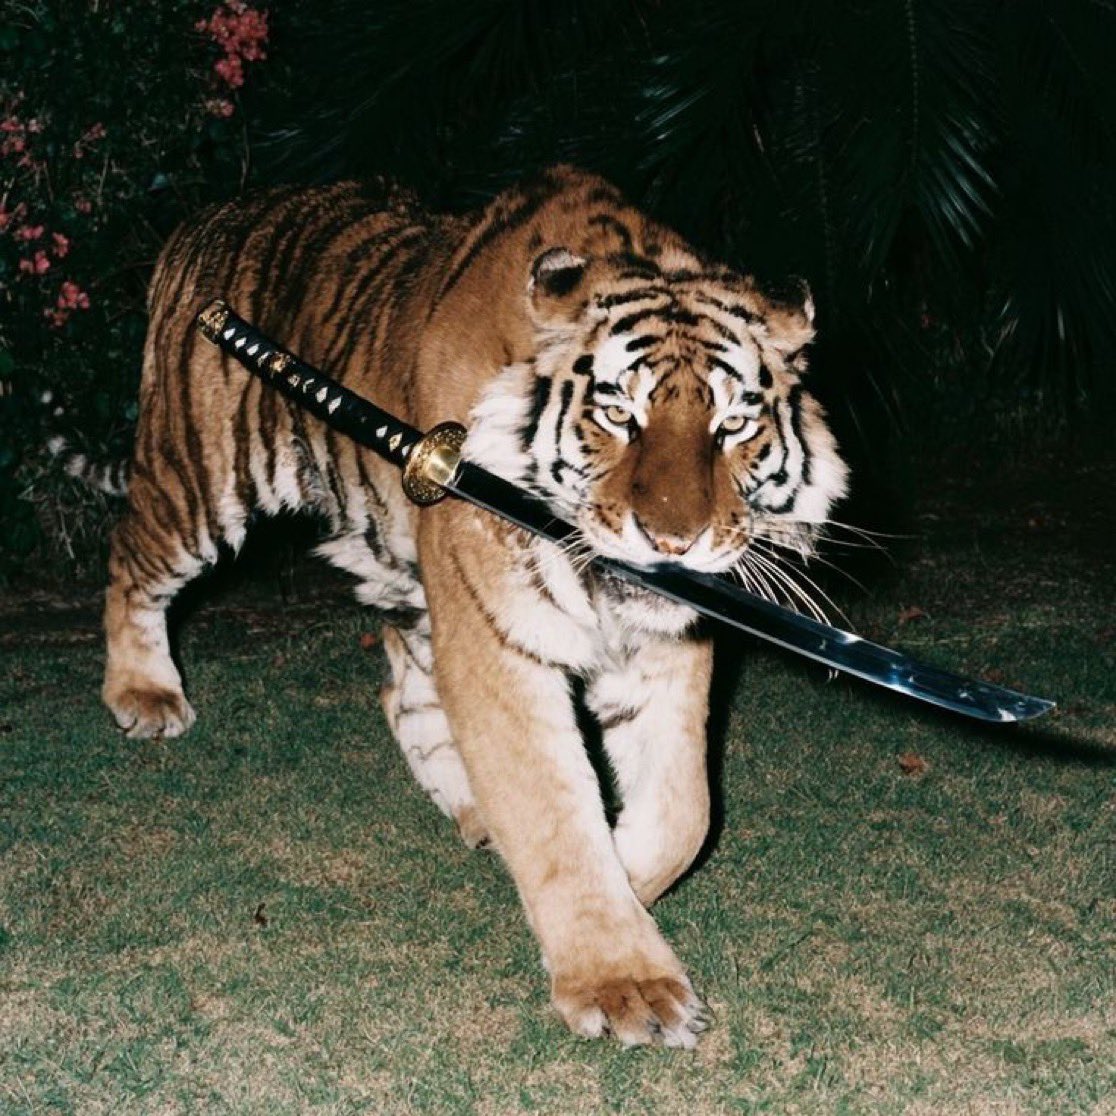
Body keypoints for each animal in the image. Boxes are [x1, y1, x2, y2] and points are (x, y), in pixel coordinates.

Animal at [103, 164, 848, 1047]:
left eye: (732, 425)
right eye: (617, 414)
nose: (674, 541)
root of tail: (208, 215)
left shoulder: (665, 653)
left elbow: (682, 811)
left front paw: (624, 876)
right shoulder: (500, 639)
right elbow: (553, 806)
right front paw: (621, 980)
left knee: (402, 686)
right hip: (202, 484)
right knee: (129, 560)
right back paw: (144, 693)